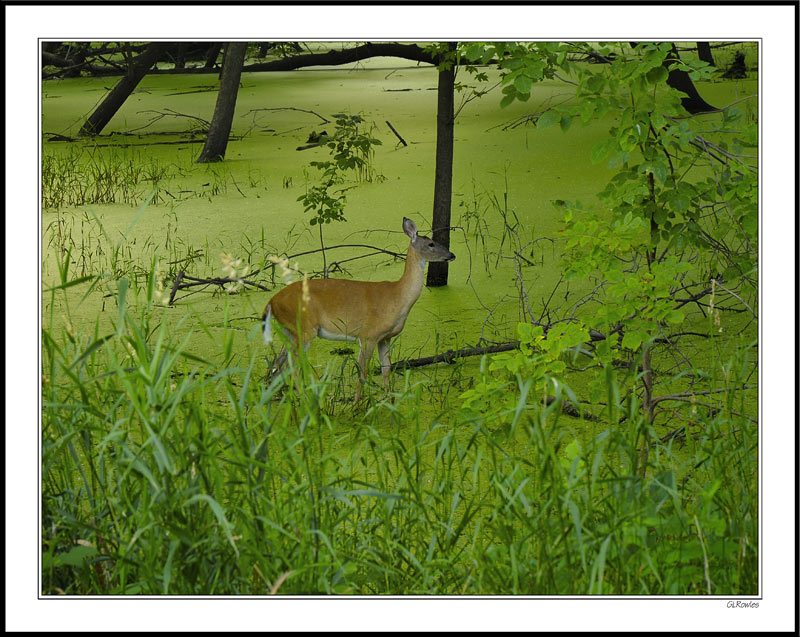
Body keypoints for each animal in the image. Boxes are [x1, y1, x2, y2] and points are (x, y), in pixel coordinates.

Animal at [260, 216, 454, 400]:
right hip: (304, 328)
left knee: (276, 366)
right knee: (290, 367)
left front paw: (390, 400)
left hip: (289, 330)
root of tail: (271, 301)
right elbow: (362, 373)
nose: (452, 255)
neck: (398, 297)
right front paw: (357, 404)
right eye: (431, 244)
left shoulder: (385, 337)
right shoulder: (368, 334)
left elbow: (386, 369)